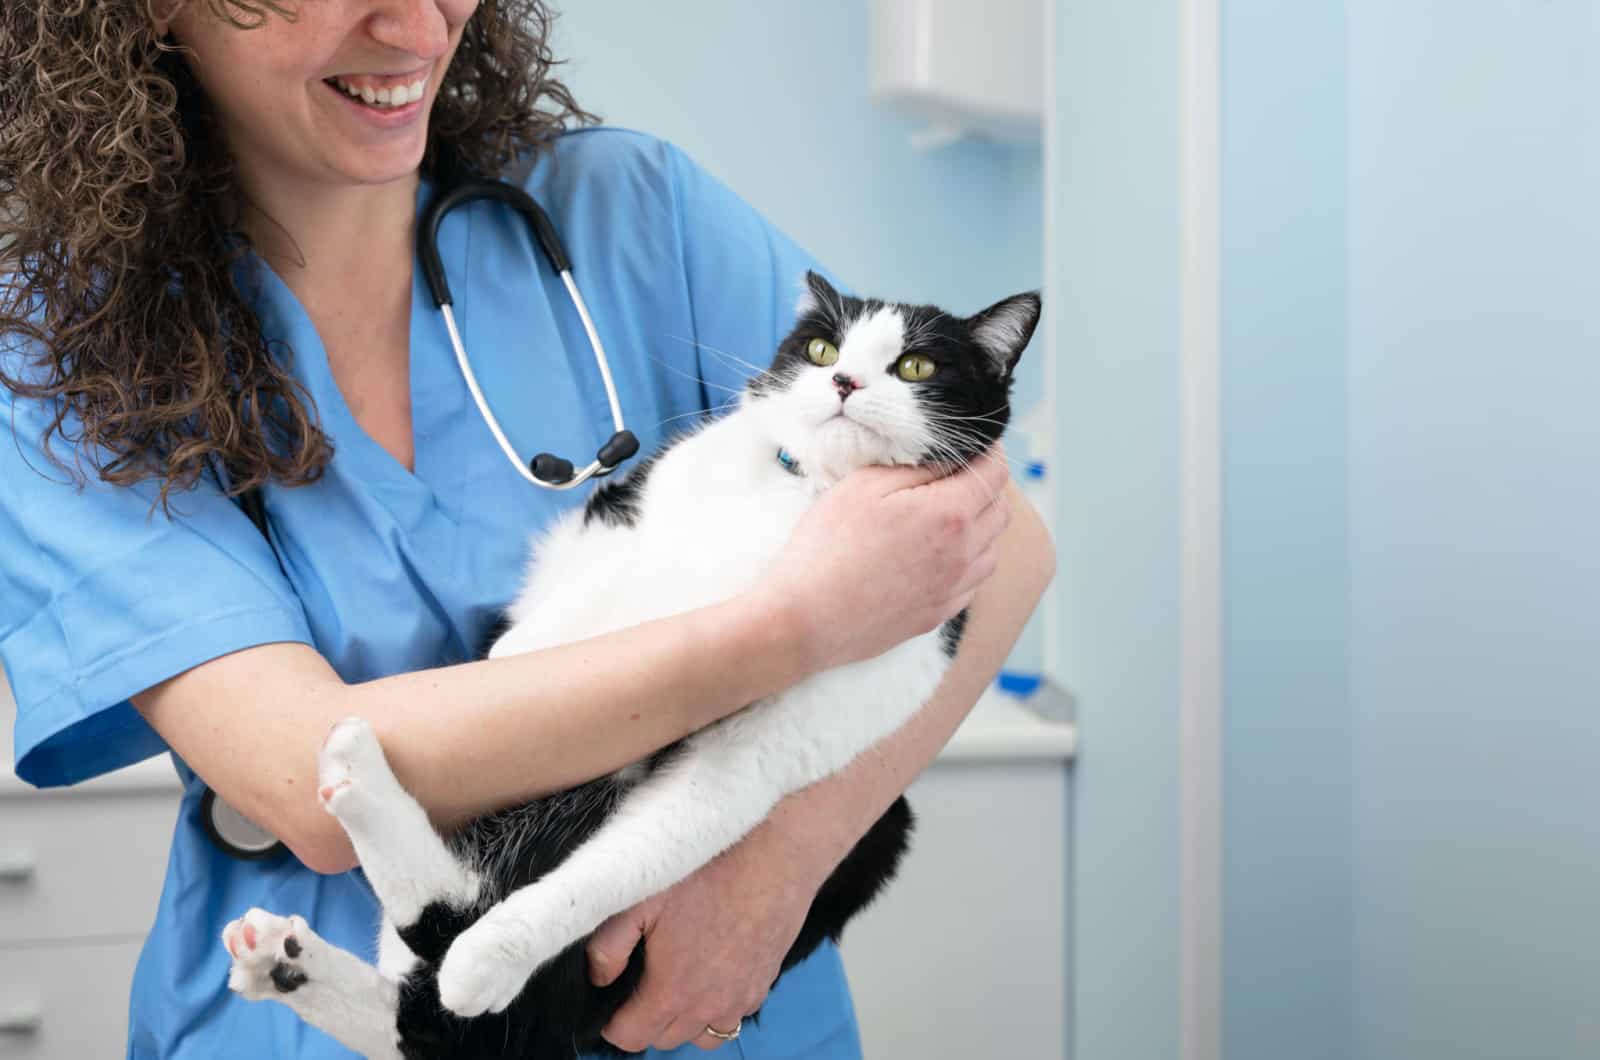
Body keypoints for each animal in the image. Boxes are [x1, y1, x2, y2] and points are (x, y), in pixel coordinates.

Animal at [225, 275, 1043, 1060]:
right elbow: (613, 581)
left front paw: (489, 959)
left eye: (916, 367)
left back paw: (323, 898)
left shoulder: (760, 755)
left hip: (874, 836)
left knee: (448, 1001)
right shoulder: (630, 518)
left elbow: (617, 870)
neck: (804, 499)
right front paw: (522, 650)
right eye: (821, 350)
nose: (843, 381)